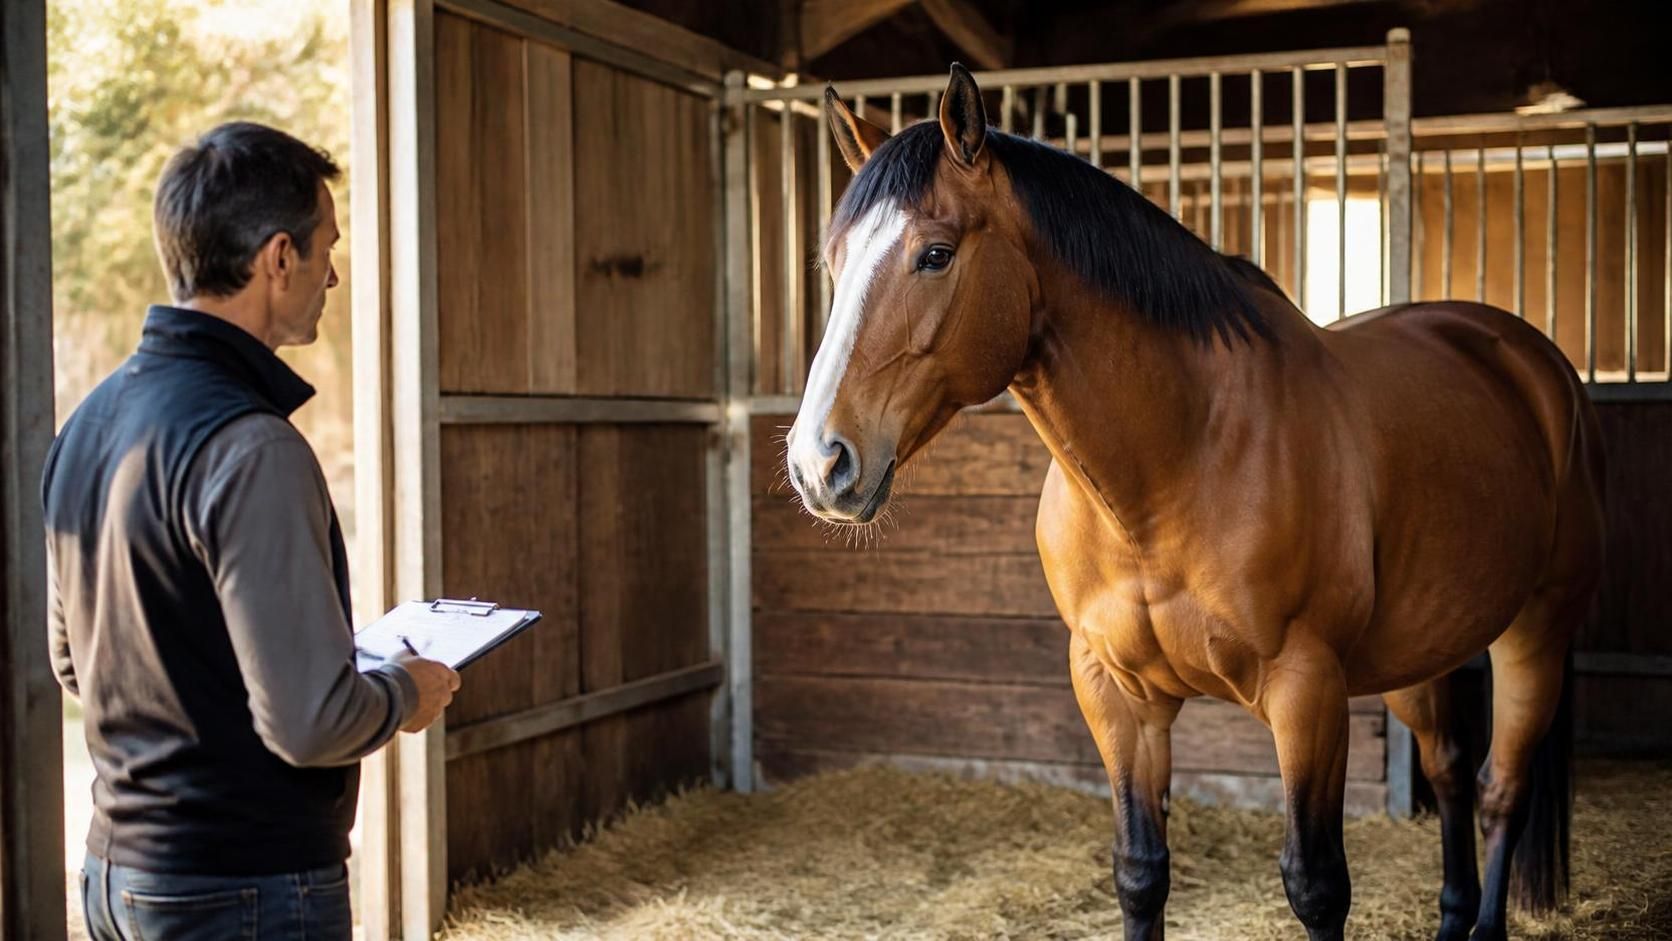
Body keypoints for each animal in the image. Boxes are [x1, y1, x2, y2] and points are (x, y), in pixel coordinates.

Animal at [784, 64, 1605, 941]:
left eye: (934, 254)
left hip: (1534, 630)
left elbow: (1317, 884)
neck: (1173, 466)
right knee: (1450, 767)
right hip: (1423, 643)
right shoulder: (1114, 690)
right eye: (831, 262)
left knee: (1501, 789)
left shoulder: (1307, 690)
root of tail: (1531, 361)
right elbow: (1141, 872)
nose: (817, 462)